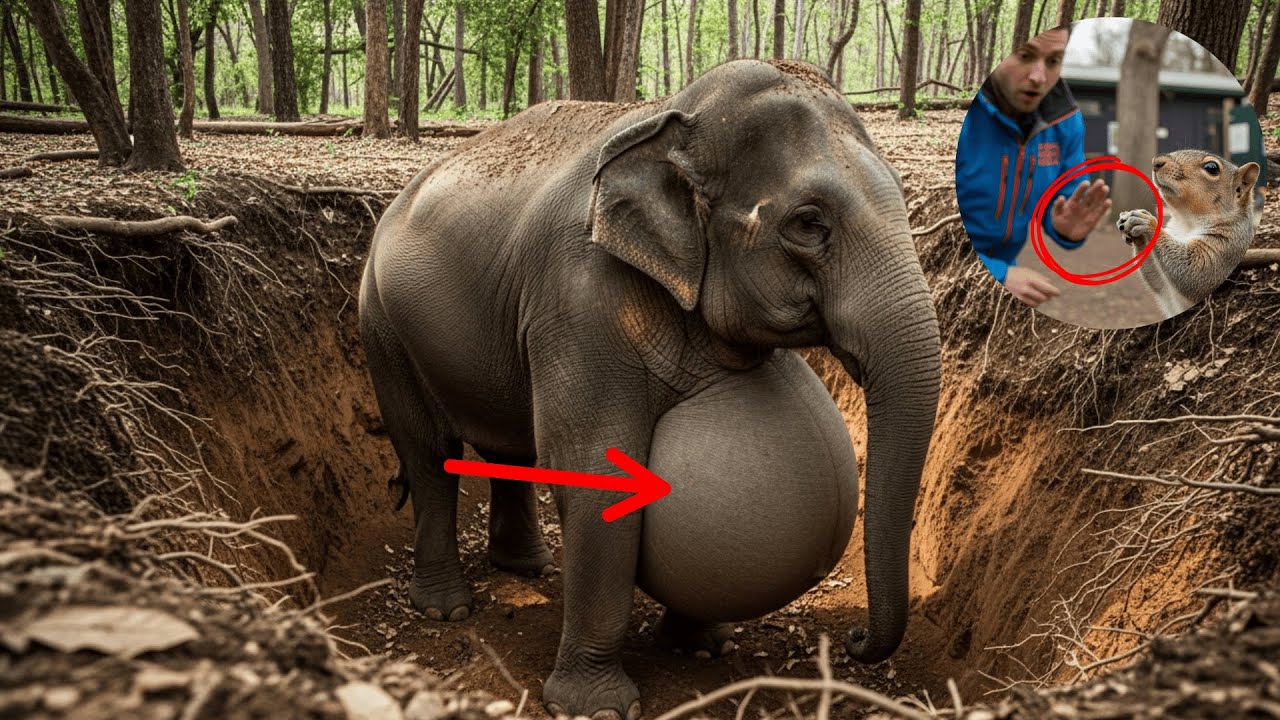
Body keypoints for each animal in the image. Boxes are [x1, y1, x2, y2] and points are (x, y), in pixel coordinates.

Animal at [358, 59, 941, 719]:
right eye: (808, 223)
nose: (855, 638)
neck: (670, 115)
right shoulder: (578, 299)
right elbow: (595, 466)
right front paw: (598, 706)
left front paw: (705, 646)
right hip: (383, 324)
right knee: (429, 452)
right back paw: (446, 608)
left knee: (512, 446)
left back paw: (529, 569)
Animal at [1116, 150, 1260, 319]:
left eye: (1212, 168)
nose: (1156, 162)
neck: (1186, 222)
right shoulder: (1166, 289)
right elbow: (1158, 283)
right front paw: (1132, 226)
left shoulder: (1228, 247)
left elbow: (1193, 272)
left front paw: (1148, 222)